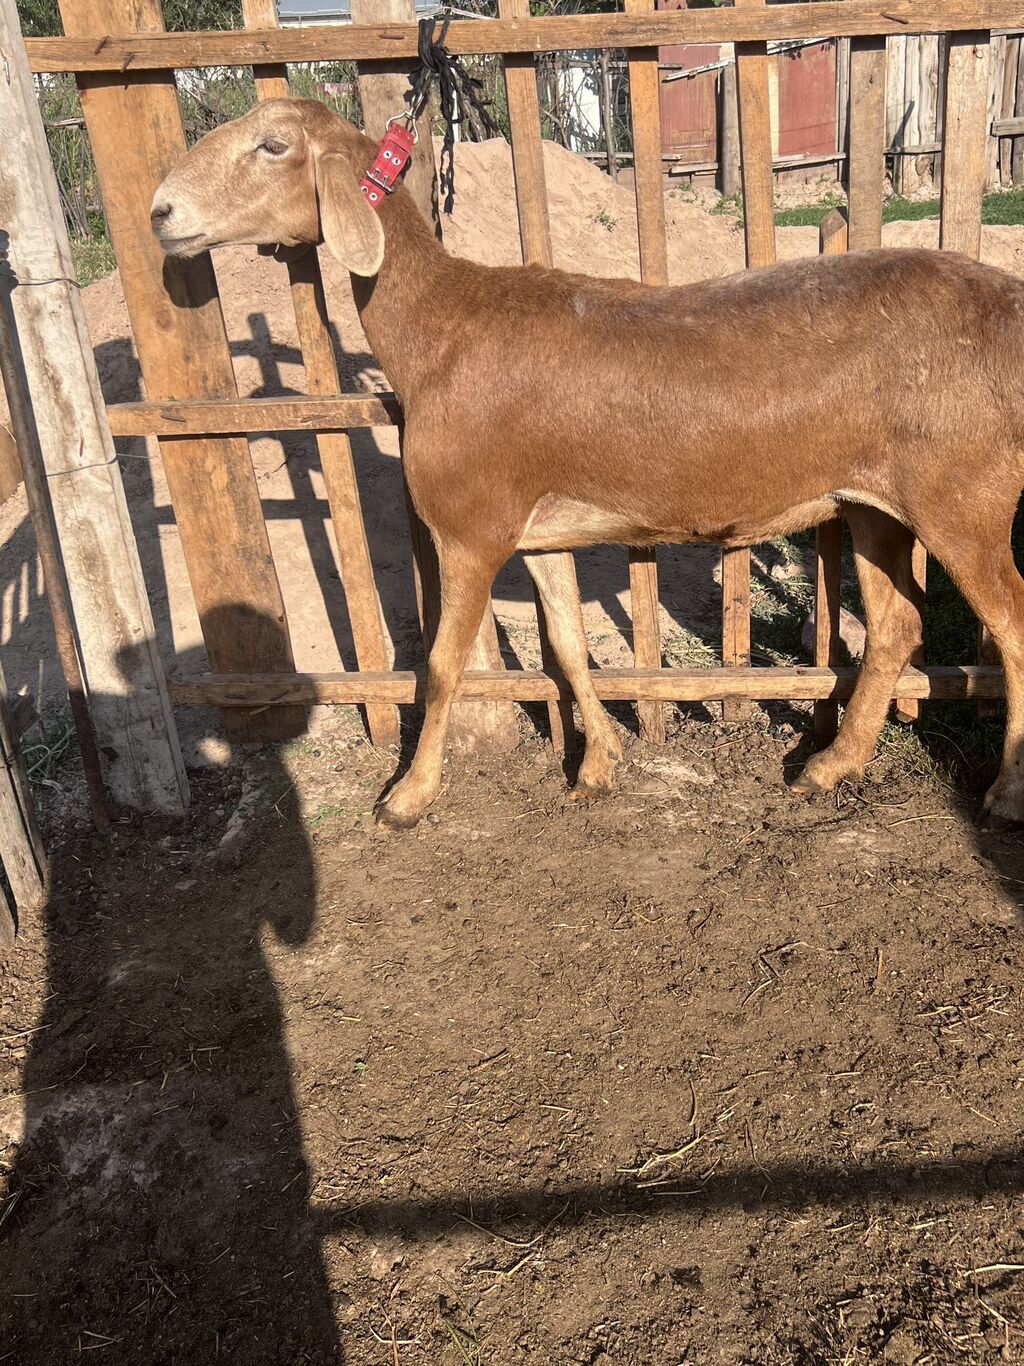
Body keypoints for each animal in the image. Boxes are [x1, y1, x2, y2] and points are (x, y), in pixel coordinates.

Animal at [152, 97, 1024, 830]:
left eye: (272, 145)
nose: (161, 213)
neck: (438, 331)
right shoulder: (537, 528)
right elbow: (568, 645)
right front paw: (599, 763)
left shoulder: (471, 527)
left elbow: (441, 665)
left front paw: (409, 794)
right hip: (876, 503)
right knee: (897, 625)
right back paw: (831, 765)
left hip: (965, 497)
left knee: (1011, 622)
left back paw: (1005, 791)